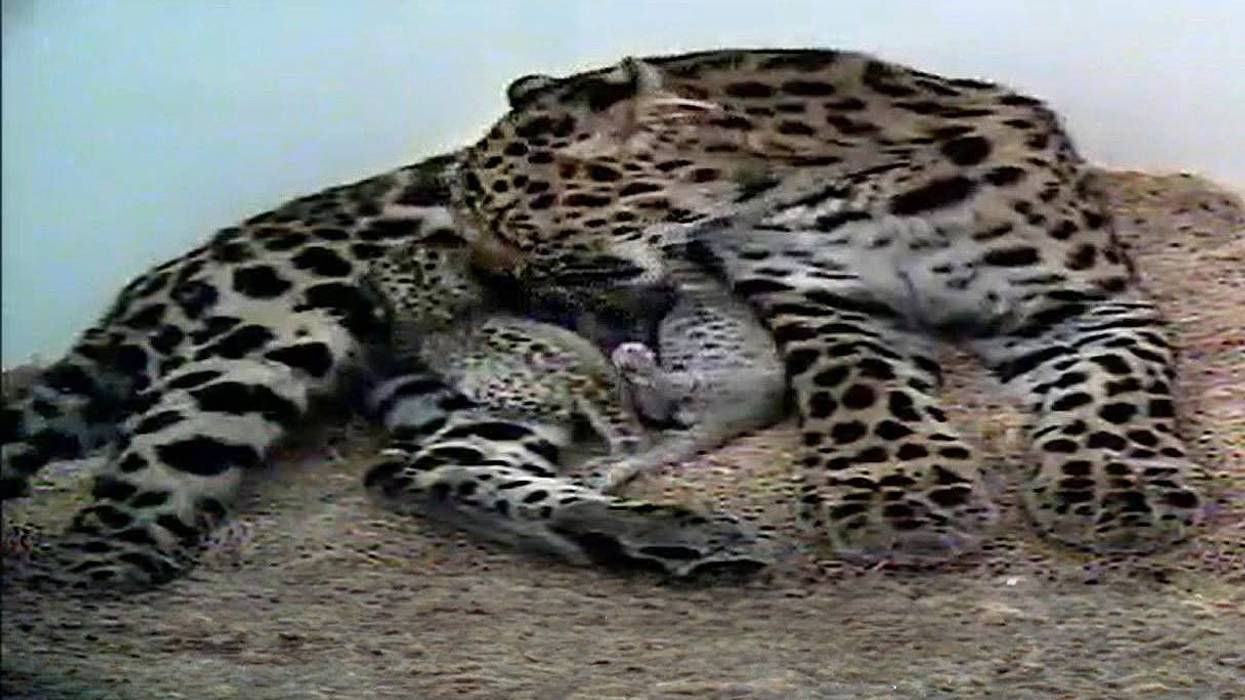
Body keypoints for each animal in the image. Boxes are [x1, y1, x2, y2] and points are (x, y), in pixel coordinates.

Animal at [448, 48, 1208, 564]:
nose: (484, 275)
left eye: (507, 224)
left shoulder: (1082, 298)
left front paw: (1114, 485)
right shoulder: (822, 300)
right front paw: (898, 495)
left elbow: (1111, 384)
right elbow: (863, 386)